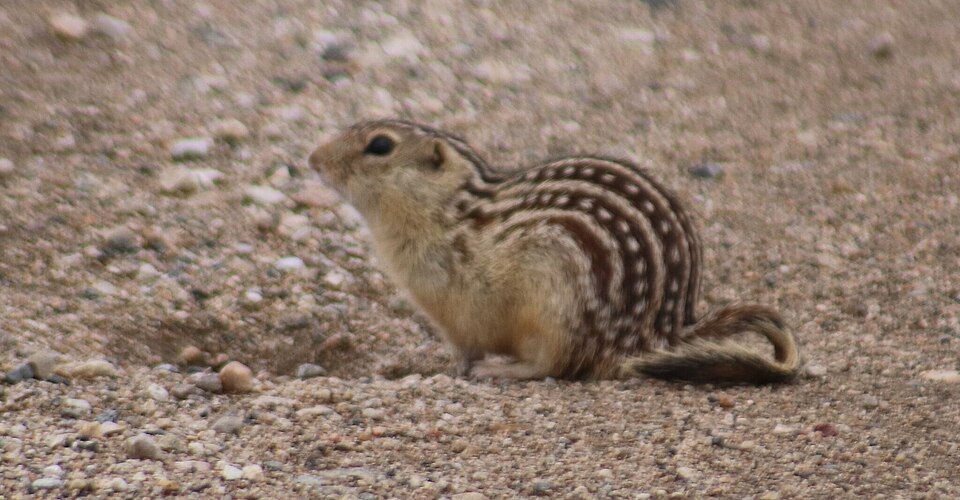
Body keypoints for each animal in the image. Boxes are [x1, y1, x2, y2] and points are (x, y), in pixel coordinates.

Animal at [308, 119, 801, 384]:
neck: (450, 211)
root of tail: (664, 332)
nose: (313, 159)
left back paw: (506, 371)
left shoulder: (455, 308)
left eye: (380, 145)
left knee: (554, 364)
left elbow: (466, 349)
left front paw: (450, 369)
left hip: (557, 303)